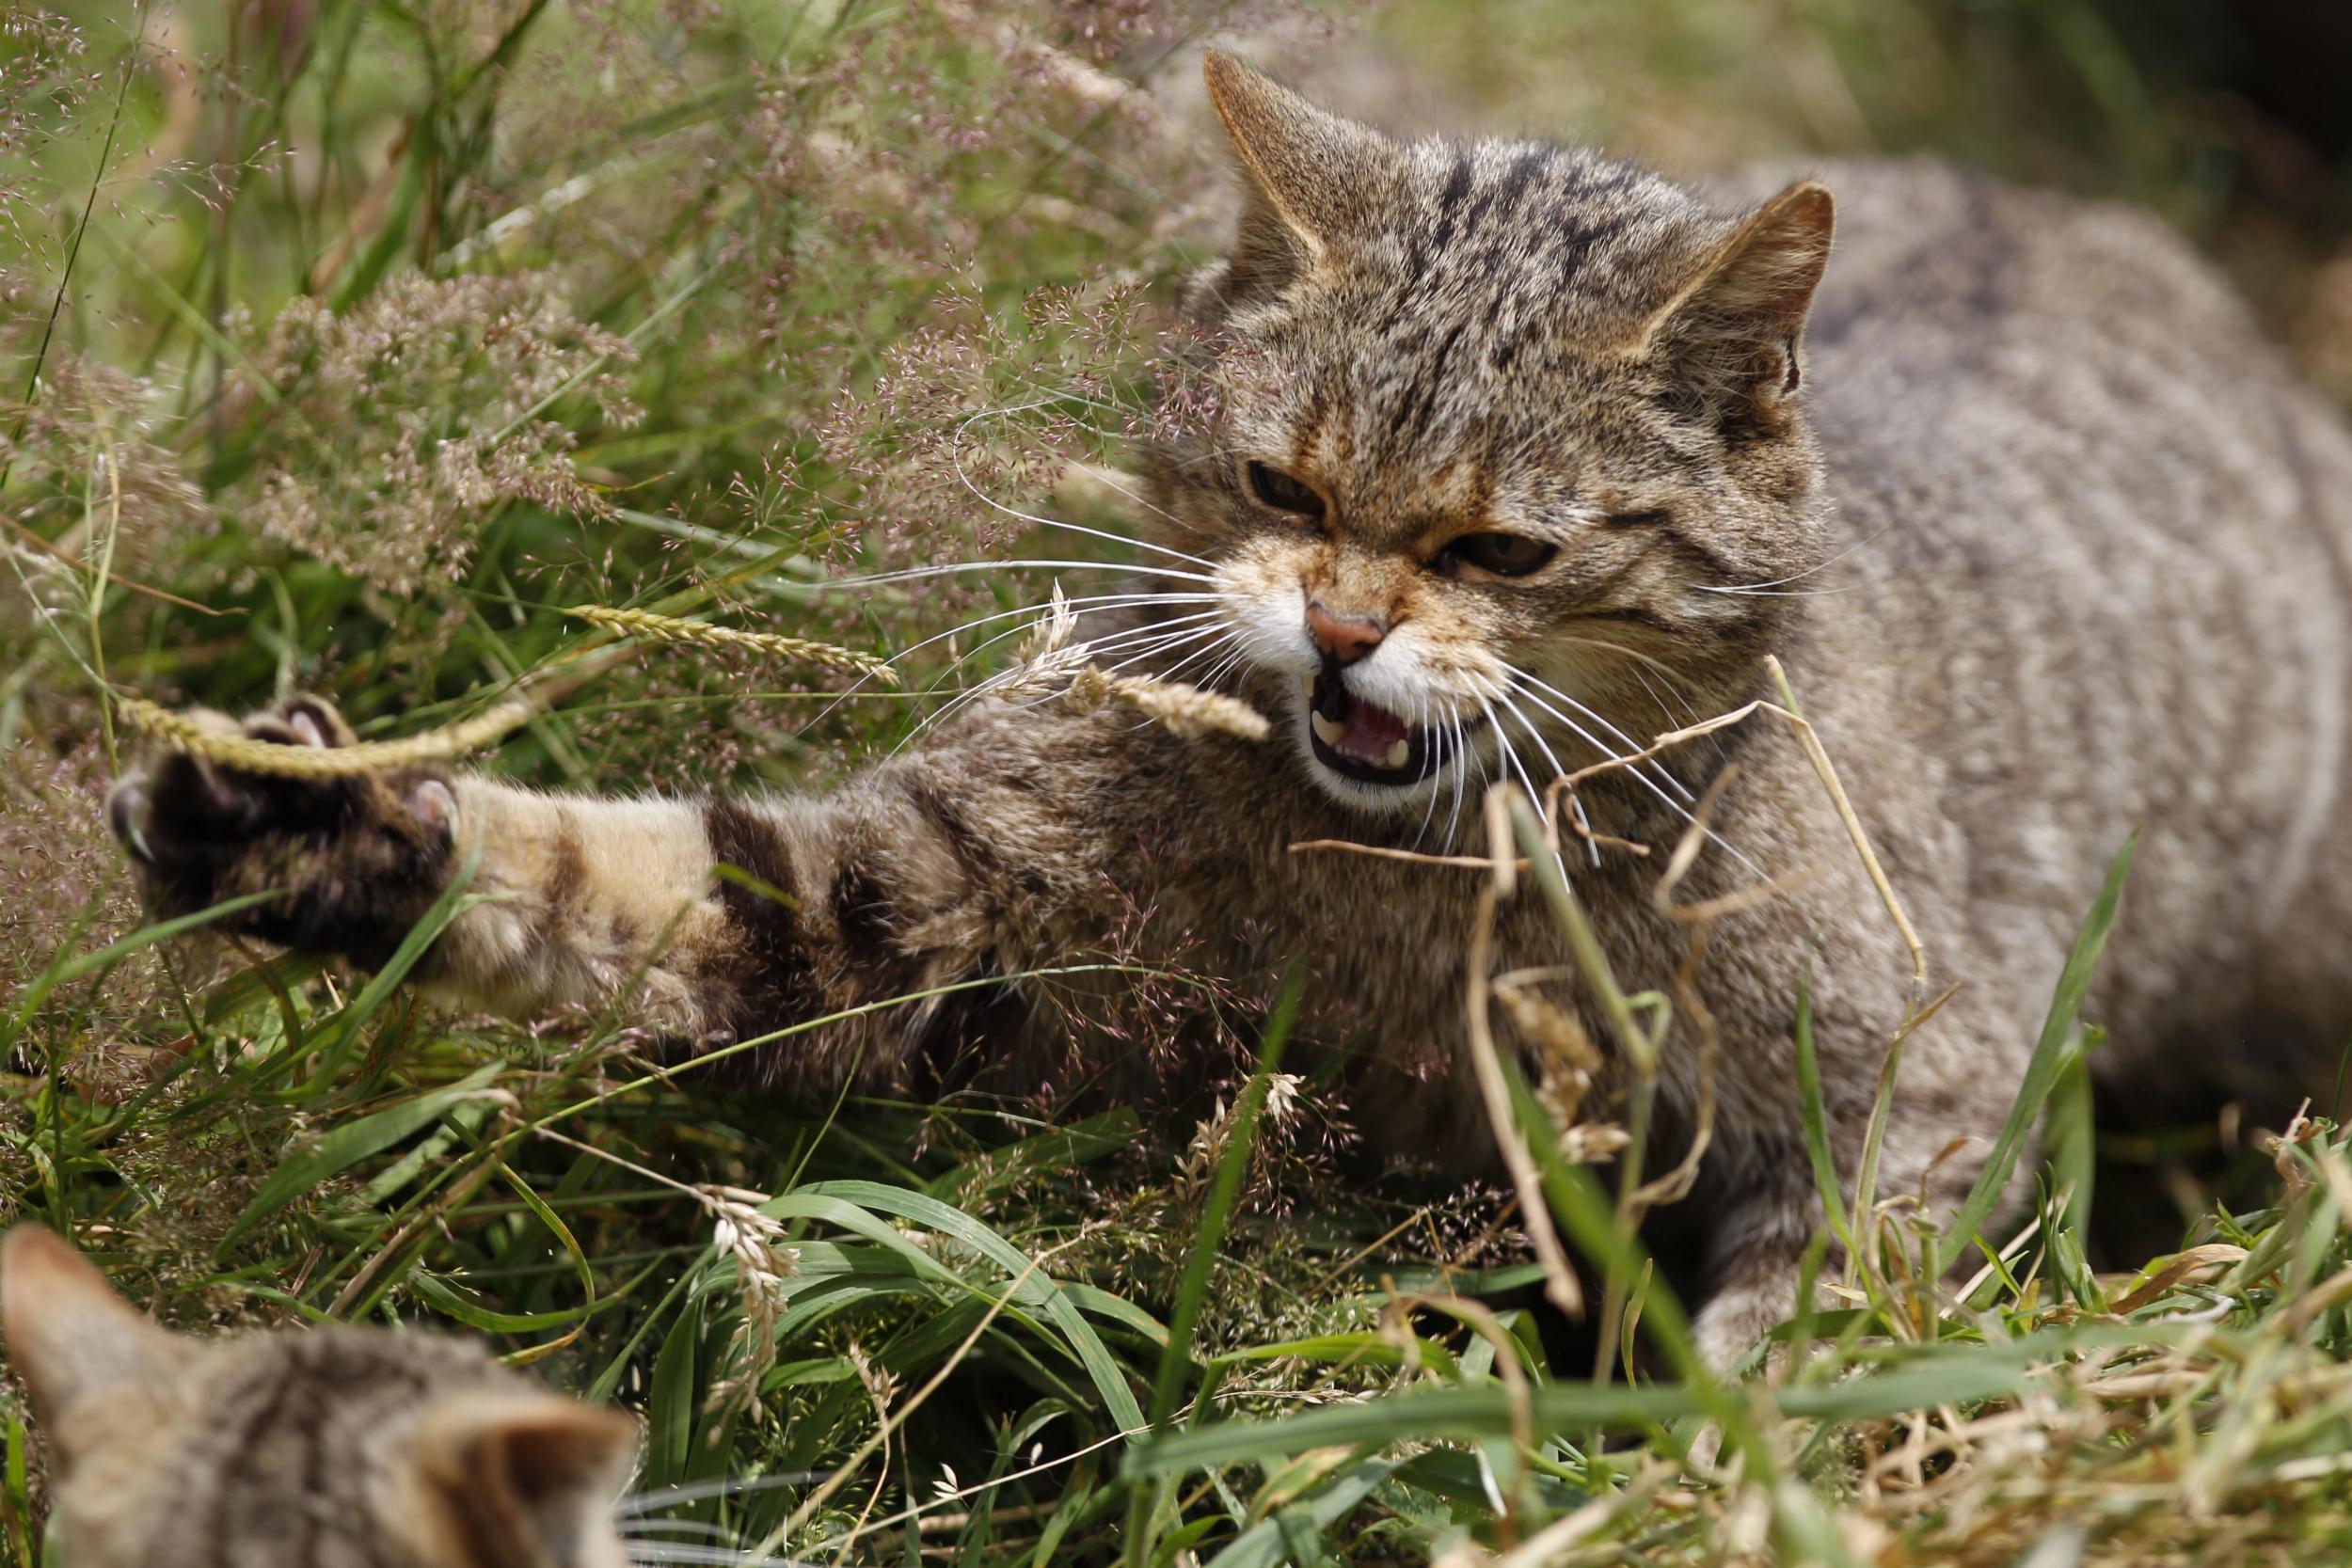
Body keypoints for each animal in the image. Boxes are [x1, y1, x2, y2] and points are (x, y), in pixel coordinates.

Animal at [101, 55, 2352, 1363]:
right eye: (1284, 487)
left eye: (1499, 552)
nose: (1343, 628)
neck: (1407, 879)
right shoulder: (941, 891)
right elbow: (627, 883)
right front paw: (327, 829)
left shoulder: (1902, 1069)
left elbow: (1805, 1328)